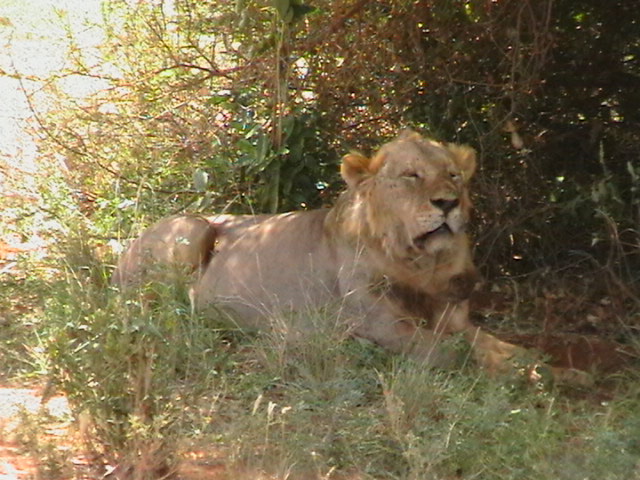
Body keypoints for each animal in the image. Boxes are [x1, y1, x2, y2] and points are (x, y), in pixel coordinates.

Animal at [111, 129, 592, 384]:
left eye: (453, 175)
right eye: (411, 176)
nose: (448, 203)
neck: (420, 263)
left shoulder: (454, 317)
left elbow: (507, 350)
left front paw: (563, 372)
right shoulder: (378, 323)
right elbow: (453, 355)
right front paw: (531, 381)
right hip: (191, 229)